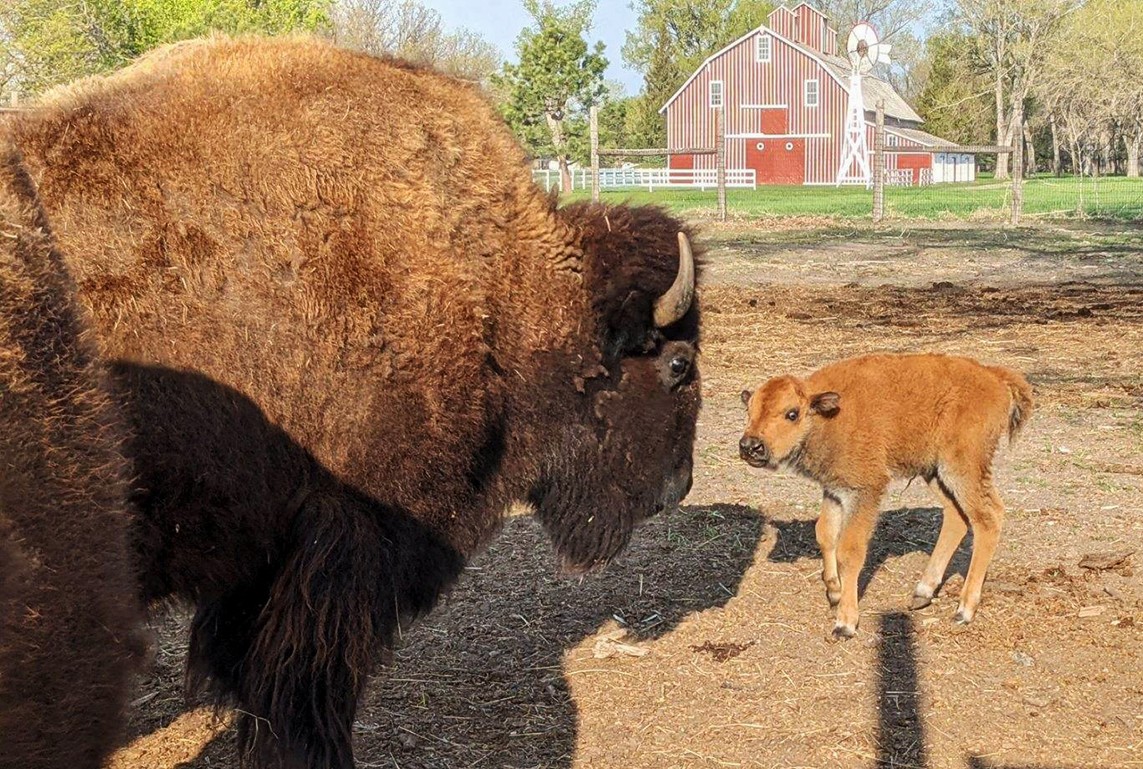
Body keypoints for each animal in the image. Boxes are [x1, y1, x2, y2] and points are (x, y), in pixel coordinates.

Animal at [6, 38, 704, 767]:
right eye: (677, 363)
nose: (678, 485)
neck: (498, 285)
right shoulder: (352, 537)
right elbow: (307, 679)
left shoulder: (267, 553)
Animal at [740, 354, 1037, 635]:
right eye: (749, 410)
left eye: (792, 413)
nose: (751, 446)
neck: (830, 416)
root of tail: (994, 376)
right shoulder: (835, 490)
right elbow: (825, 534)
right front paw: (834, 592)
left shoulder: (865, 491)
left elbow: (849, 550)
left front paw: (845, 622)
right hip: (935, 472)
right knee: (957, 517)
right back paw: (922, 593)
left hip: (963, 468)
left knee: (988, 517)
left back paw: (964, 610)